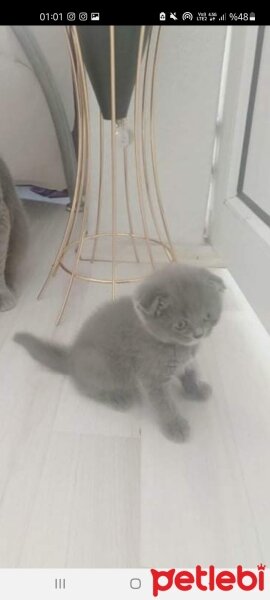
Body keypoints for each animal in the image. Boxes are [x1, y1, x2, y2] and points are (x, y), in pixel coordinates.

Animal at [14, 264, 224, 442]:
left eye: (207, 316)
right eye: (181, 324)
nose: (199, 334)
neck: (177, 346)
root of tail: (72, 357)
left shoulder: (187, 361)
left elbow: (190, 373)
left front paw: (196, 390)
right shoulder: (152, 377)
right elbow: (164, 403)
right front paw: (175, 426)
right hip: (102, 366)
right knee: (87, 388)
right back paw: (117, 397)